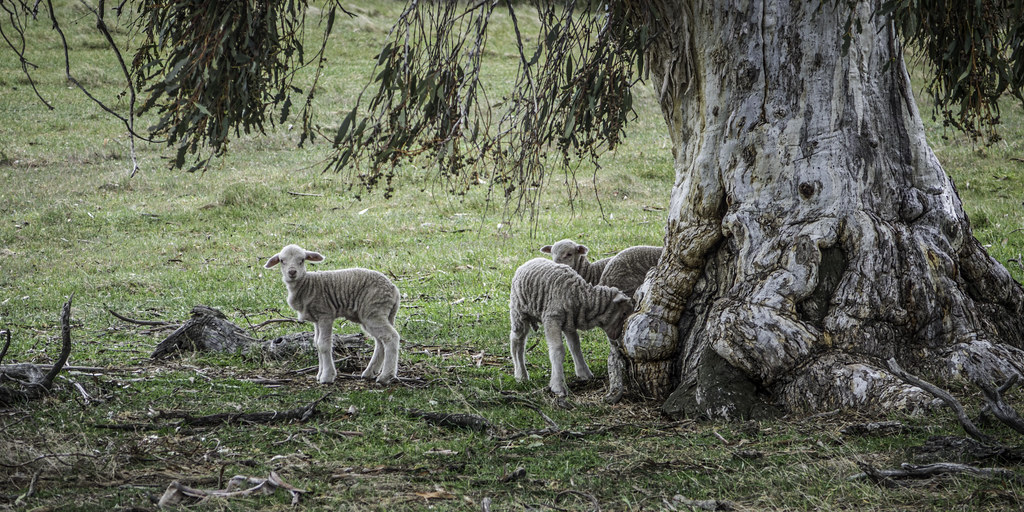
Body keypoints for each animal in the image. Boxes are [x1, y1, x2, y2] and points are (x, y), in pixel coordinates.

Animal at [265, 244, 401, 385]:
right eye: (282, 260)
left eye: (302, 260)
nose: (292, 272)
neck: (307, 285)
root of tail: (395, 290)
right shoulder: (316, 319)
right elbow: (316, 343)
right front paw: (319, 374)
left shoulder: (325, 314)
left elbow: (323, 344)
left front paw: (327, 376)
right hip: (377, 315)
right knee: (380, 341)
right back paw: (370, 372)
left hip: (374, 311)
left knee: (391, 337)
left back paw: (386, 376)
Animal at [509, 258, 634, 396]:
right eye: (624, 313)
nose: (618, 336)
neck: (581, 296)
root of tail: (529, 261)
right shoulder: (552, 318)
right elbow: (558, 350)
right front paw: (558, 385)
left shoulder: (569, 323)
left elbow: (575, 346)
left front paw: (584, 372)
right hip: (519, 311)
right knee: (517, 341)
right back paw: (521, 375)